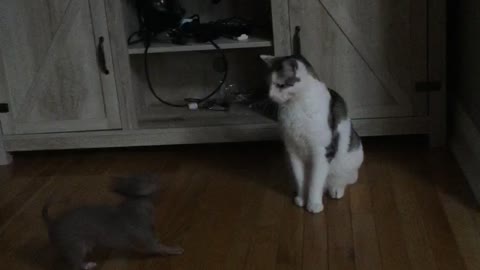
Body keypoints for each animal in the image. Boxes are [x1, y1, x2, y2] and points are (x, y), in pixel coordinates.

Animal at [42, 176, 184, 268]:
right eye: (148, 179)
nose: (160, 180)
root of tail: (52, 224)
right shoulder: (147, 242)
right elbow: (160, 247)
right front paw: (175, 249)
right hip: (77, 247)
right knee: (76, 264)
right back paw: (87, 265)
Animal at [260, 53, 362, 212]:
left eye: (280, 85)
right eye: (268, 84)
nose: (270, 96)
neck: (295, 106)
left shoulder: (321, 152)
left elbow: (315, 182)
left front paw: (313, 204)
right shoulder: (293, 151)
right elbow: (301, 179)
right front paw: (302, 198)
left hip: (351, 157)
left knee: (345, 178)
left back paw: (336, 188)